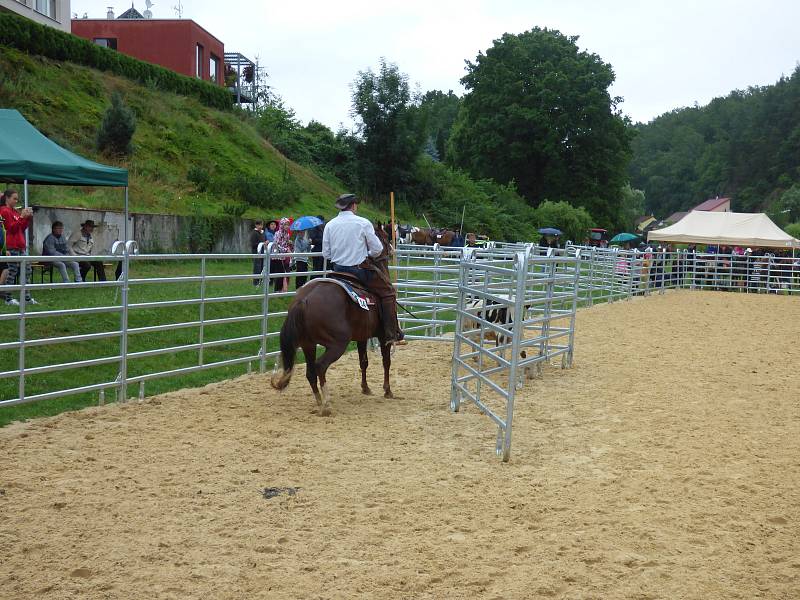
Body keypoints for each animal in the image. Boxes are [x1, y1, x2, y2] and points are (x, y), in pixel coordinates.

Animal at [268, 223, 394, 414]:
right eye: (385, 238)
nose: (391, 251)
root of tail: (304, 300)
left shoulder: (362, 336)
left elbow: (363, 361)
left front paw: (365, 388)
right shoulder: (382, 335)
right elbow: (386, 361)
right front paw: (387, 390)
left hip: (308, 344)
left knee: (310, 372)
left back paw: (319, 402)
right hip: (337, 344)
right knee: (320, 366)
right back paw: (326, 403)